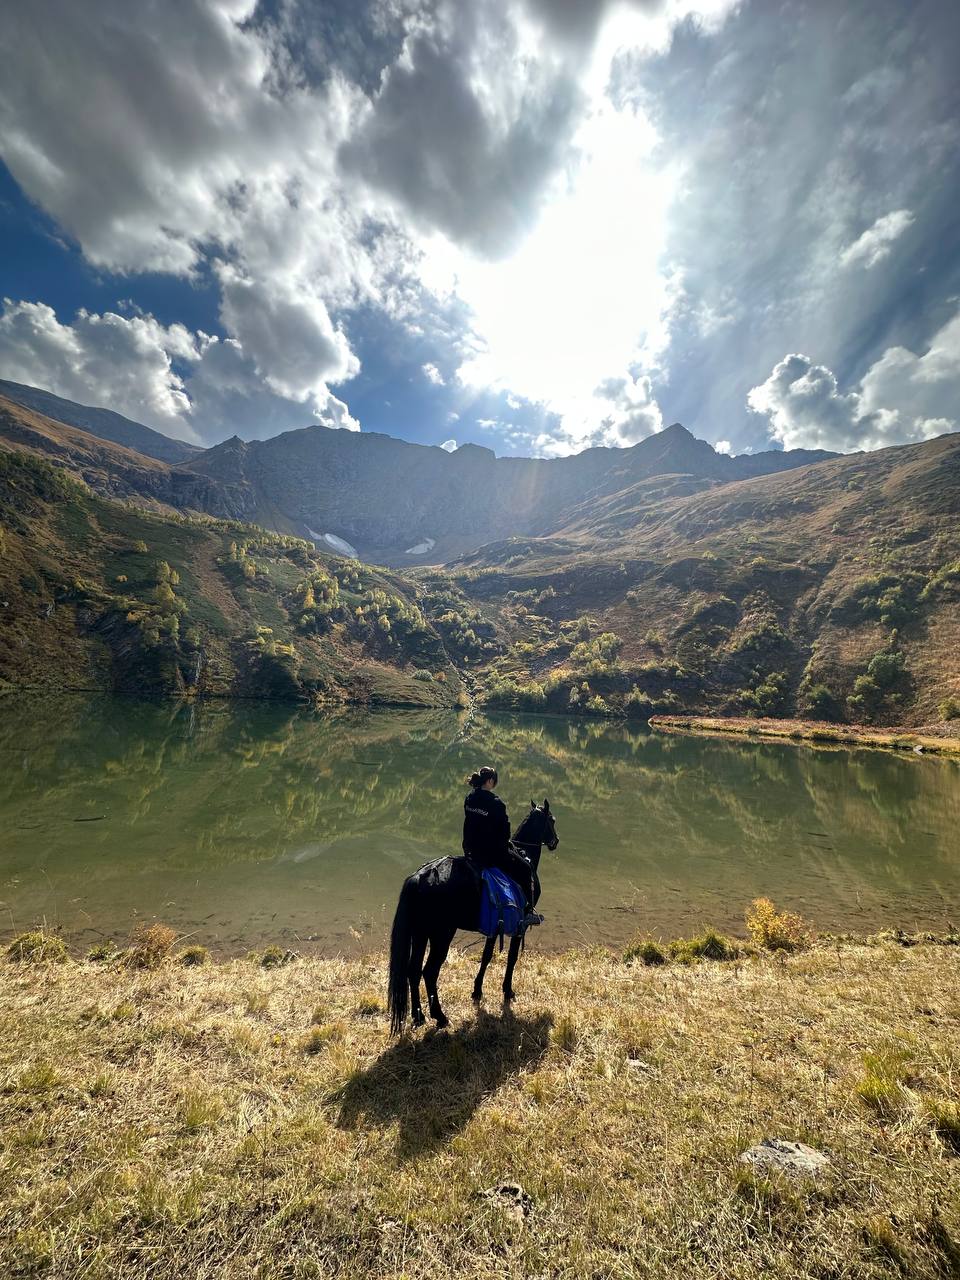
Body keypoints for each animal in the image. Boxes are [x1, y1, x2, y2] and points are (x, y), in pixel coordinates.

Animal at [386, 803, 560, 1034]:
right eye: (552, 820)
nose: (555, 841)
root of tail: (419, 877)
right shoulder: (518, 926)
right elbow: (512, 958)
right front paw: (508, 991)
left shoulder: (495, 924)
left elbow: (486, 956)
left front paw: (477, 991)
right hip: (441, 935)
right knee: (429, 972)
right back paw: (440, 1017)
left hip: (420, 933)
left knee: (412, 971)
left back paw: (418, 1016)